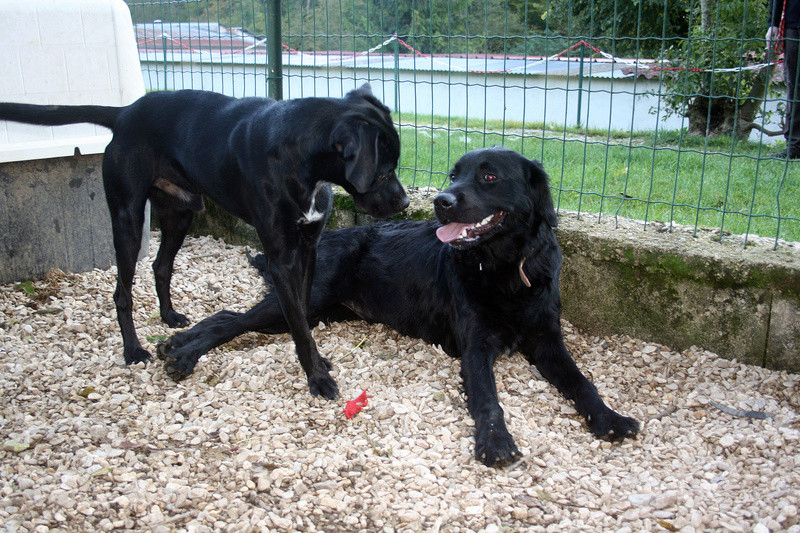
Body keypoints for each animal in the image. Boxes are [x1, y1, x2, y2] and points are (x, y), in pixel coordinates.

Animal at [0, 84, 410, 400]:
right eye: (384, 170)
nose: (406, 203)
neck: (300, 157)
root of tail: (126, 111)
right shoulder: (280, 257)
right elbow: (296, 318)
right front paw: (317, 378)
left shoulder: (308, 248)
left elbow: (302, 315)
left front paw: (315, 360)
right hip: (128, 218)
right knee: (122, 291)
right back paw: (133, 350)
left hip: (179, 212)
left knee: (161, 265)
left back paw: (169, 317)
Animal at [159, 145, 640, 466]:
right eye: (453, 174)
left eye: (489, 177)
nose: (441, 201)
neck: (504, 268)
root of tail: (324, 238)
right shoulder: (476, 347)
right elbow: (488, 398)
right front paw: (495, 441)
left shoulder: (546, 339)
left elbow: (582, 382)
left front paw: (609, 418)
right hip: (299, 303)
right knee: (230, 318)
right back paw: (180, 349)